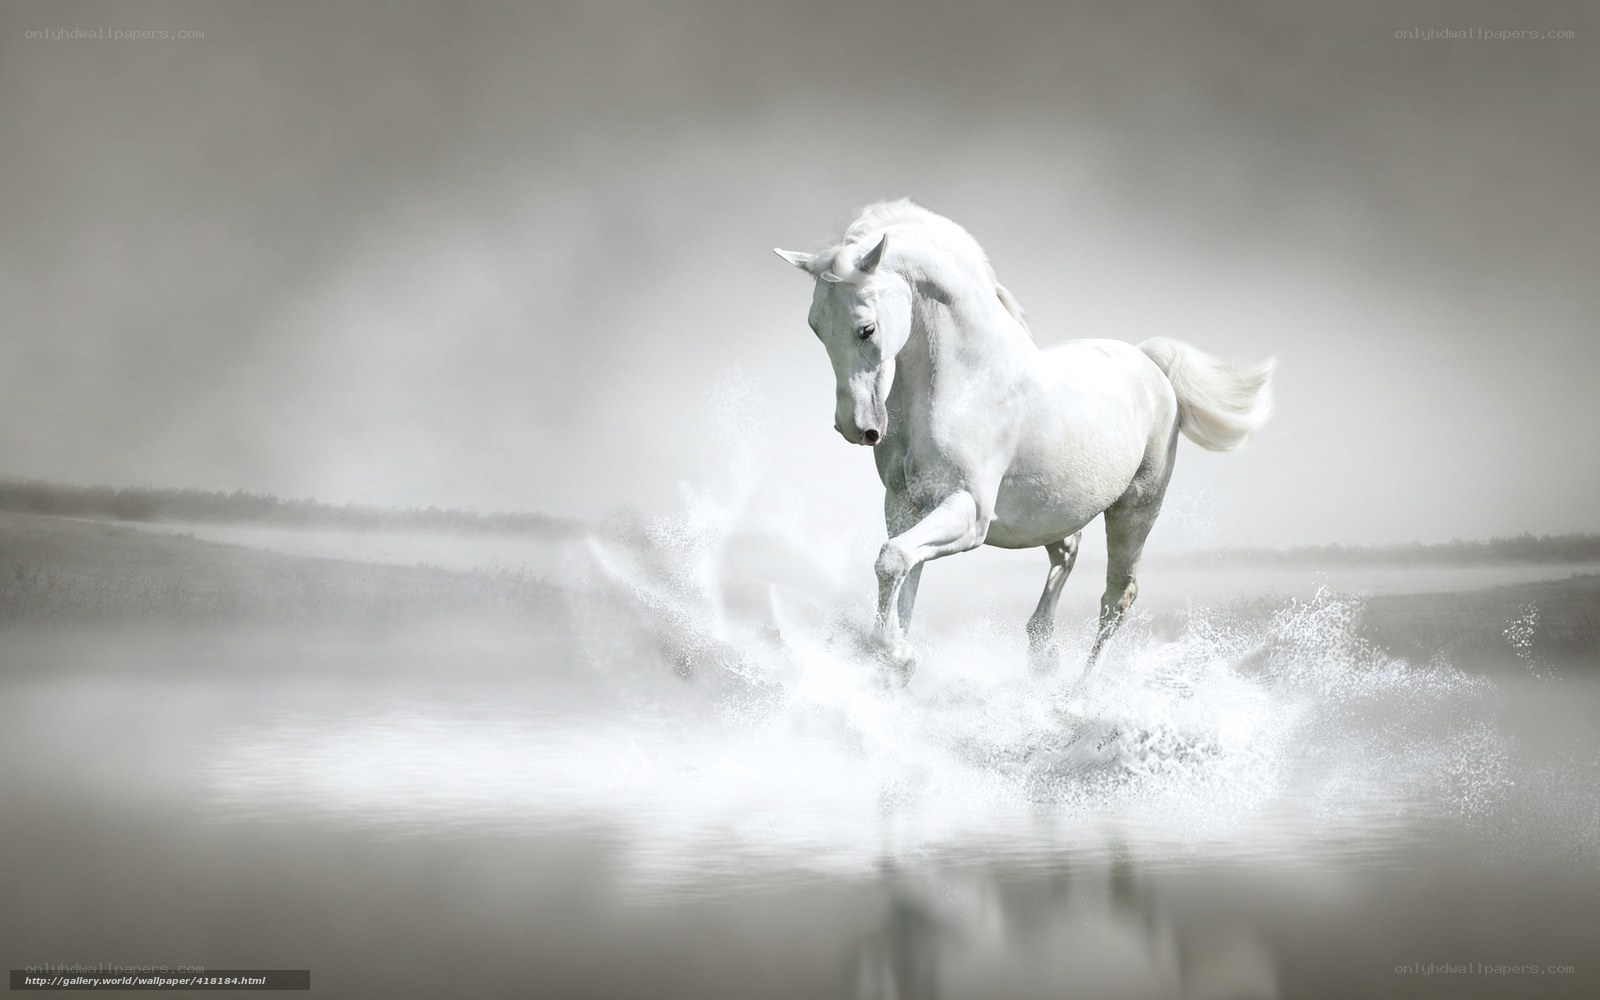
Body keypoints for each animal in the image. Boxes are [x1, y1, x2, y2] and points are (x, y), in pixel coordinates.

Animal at [774, 200, 1274, 683]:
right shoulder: (904, 506)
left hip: (1136, 509)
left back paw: (1077, 696)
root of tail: (1149, 362)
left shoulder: (969, 512)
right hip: (1053, 511)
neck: (967, 381)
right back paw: (1042, 654)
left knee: (1117, 598)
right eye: (816, 326)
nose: (857, 428)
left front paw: (898, 656)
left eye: (866, 328)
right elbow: (903, 576)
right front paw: (894, 663)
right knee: (1067, 554)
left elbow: (893, 560)